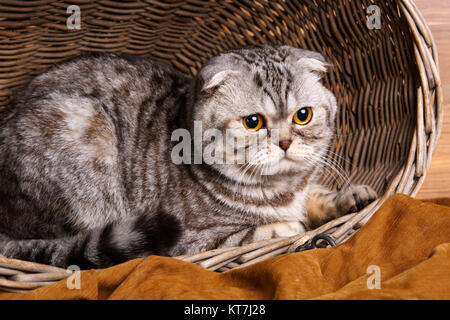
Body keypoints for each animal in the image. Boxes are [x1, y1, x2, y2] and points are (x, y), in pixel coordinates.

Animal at [0, 46, 376, 268]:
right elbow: (252, 233)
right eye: (253, 122)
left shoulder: (305, 188)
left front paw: (352, 196)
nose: (284, 142)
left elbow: (319, 196)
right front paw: (285, 226)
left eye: (303, 115)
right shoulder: (191, 241)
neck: (282, 188)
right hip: (81, 133)